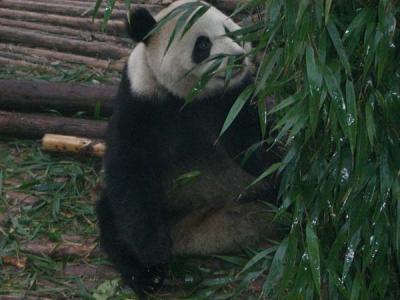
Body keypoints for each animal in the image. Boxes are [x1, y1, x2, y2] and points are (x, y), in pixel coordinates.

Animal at [95, 0, 280, 296]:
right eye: (203, 45)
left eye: (231, 30)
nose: (238, 58)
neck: (190, 96)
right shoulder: (140, 105)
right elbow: (130, 172)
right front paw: (154, 250)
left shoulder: (233, 101)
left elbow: (256, 146)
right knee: (112, 219)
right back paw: (147, 275)